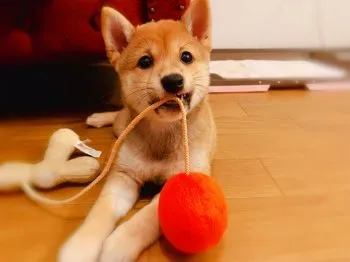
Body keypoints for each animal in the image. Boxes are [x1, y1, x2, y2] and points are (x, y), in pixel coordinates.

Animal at [58, 1, 215, 260]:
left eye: (186, 57)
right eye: (145, 62)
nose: (173, 80)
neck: (162, 134)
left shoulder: (182, 182)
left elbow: (146, 219)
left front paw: (117, 246)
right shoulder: (123, 176)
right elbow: (100, 211)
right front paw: (80, 247)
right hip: (121, 126)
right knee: (120, 115)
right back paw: (99, 117)